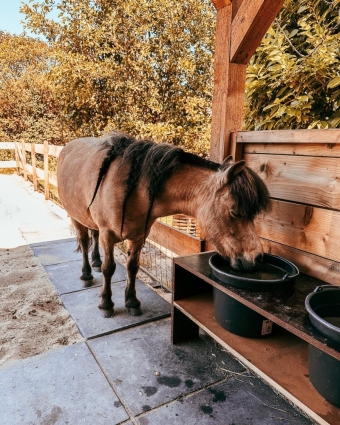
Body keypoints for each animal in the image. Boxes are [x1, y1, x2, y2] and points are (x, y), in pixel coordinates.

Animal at [58, 131, 270, 316]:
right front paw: (106, 304)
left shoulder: (138, 237)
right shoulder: (108, 235)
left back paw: (95, 261)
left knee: (92, 236)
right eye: (235, 212)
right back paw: (86, 274)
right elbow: (109, 269)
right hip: (75, 217)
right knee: (84, 241)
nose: (257, 258)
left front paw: (132, 302)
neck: (131, 190)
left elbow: (132, 267)